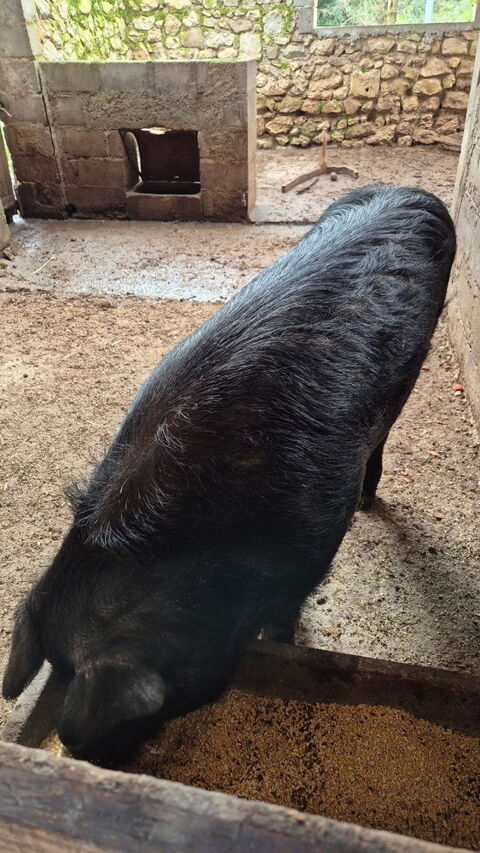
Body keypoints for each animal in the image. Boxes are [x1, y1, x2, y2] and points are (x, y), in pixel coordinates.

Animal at [2, 185, 456, 764]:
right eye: (54, 672)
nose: (91, 757)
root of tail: (413, 192)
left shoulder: (313, 548)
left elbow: (285, 619)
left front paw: (281, 643)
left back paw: (368, 502)